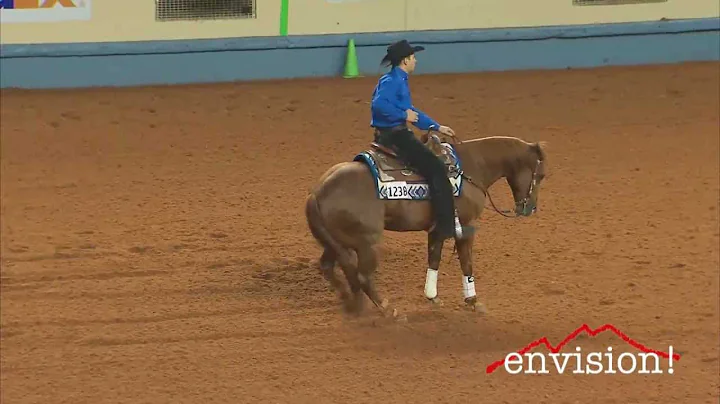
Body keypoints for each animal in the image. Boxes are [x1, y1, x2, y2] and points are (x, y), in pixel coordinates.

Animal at [302, 129, 544, 316]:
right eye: (541, 176)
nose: (530, 208)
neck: (472, 167)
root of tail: (317, 193)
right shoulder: (466, 226)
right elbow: (466, 263)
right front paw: (473, 301)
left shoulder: (436, 229)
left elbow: (434, 258)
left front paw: (433, 297)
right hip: (365, 243)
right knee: (362, 276)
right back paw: (388, 310)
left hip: (336, 242)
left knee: (331, 267)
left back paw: (352, 304)